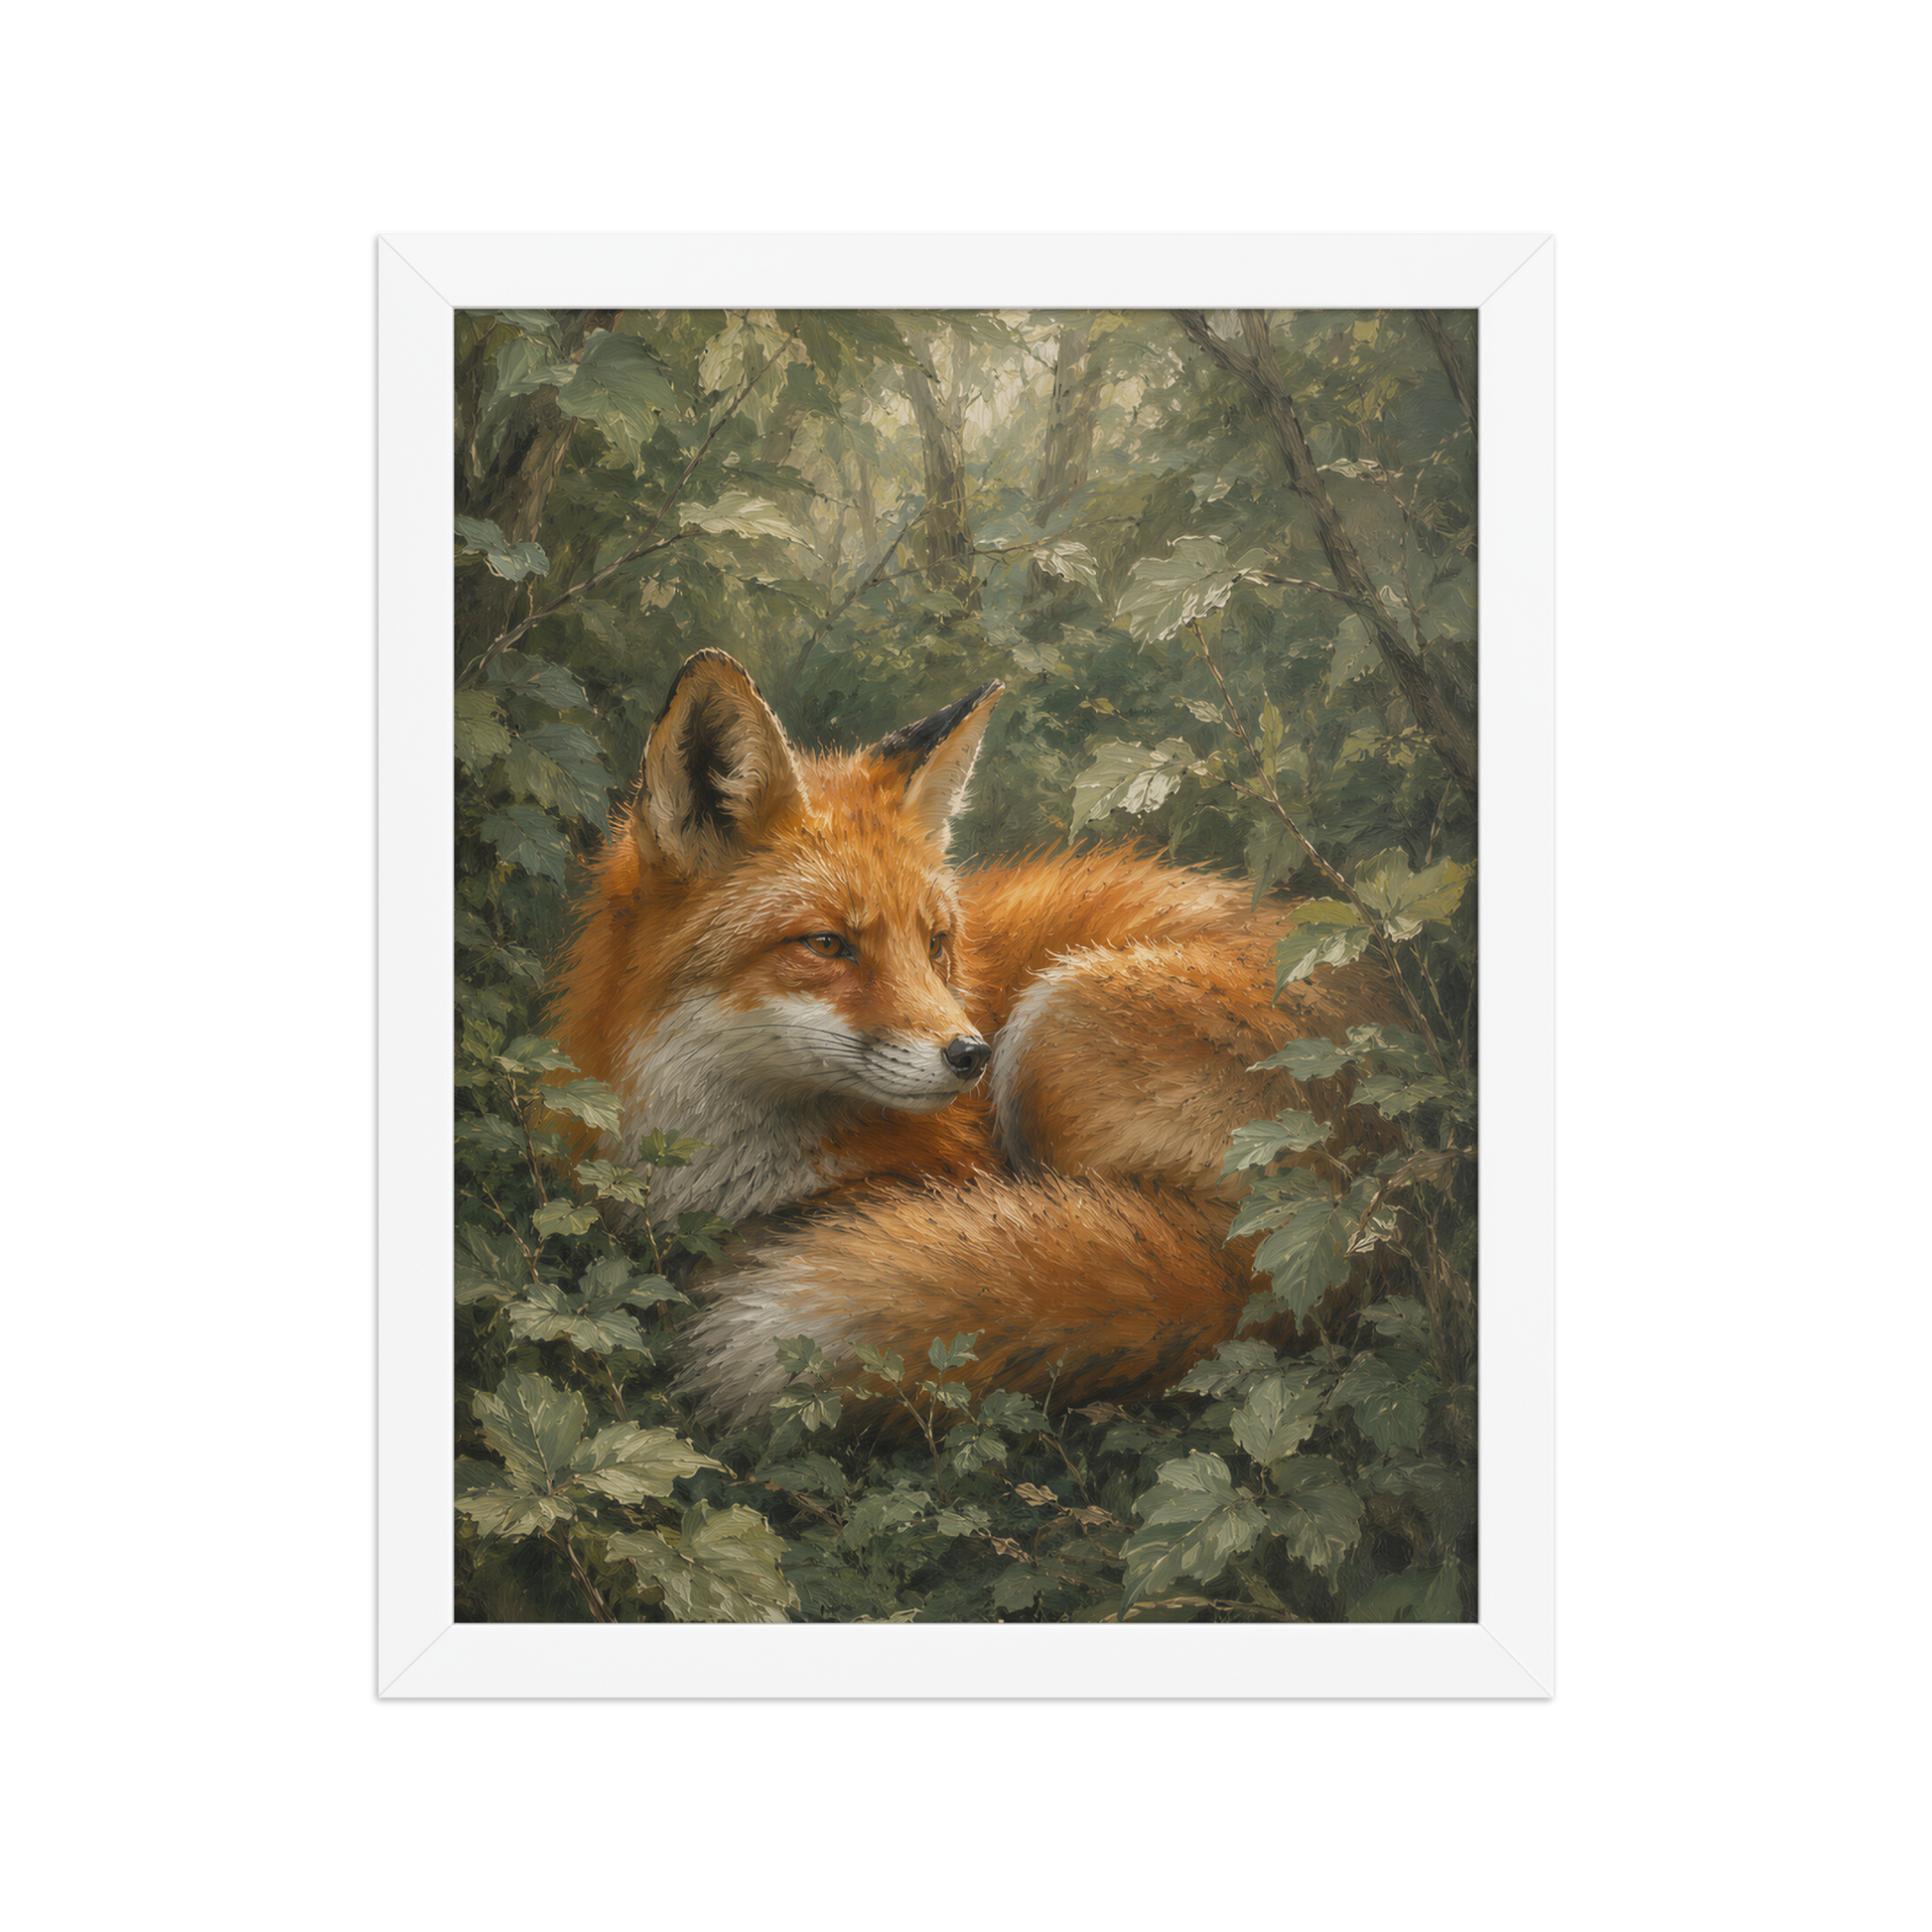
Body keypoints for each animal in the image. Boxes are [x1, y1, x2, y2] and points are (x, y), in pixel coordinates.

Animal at [544, 648, 1411, 1439]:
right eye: (827, 944)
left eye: (935, 943)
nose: (970, 1056)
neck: (714, 1155)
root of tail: (1323, 1240)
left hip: (1056, 1025)